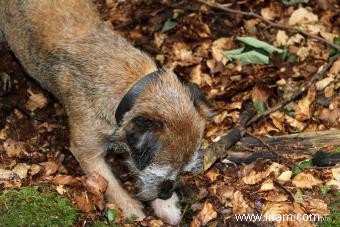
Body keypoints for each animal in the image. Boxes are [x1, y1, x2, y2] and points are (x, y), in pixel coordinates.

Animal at [0, 0, 212, 223]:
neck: (129, 88)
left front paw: (167, 207)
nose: (165, 194)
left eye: (182, 171)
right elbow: (110, 184)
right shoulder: (87, 154)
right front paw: (131, 208)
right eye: (163, 174)